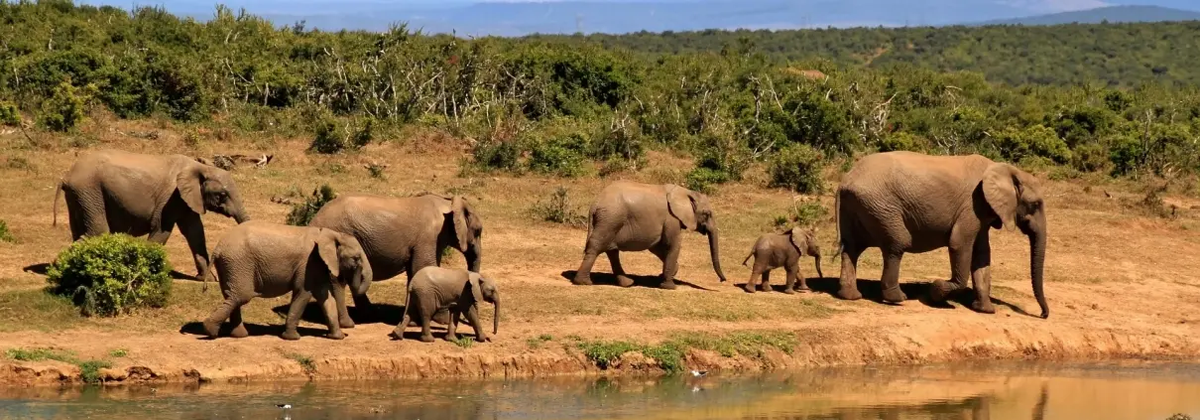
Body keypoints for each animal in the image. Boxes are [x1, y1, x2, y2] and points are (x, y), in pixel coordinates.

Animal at [54, 148, 250, 285]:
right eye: (222, 195)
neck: (200, 167)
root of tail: (66, 176)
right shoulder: (171, 198)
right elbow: (162, 230)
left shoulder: (187, 199)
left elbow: (195, 233)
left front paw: (207, 279)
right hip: (89, 190)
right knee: (97, 231)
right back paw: (62, 266)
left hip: (79, 195)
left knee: (80, 231)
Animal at [201, 219, 372, 340]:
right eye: (356, 259)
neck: (331, 234)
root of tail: (218, 248)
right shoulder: (308, 264)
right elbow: (303, 293)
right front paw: (292, 338)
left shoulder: (317, 266)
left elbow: (325, 297)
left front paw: (337, 337)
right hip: (238, 263)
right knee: (241, 296)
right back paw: (210, 330)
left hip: (230, 265)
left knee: (232, 296)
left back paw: (238, 335)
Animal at [307, 192, 484, 326]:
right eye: (478, 230)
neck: (448, 202)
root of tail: (313, 220)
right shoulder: (429, 237)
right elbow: (424, 267)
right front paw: (440, 320)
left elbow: (415, 272)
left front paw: (412, 321)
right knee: (338, 280)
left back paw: (369, 315)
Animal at [573, 180, 729, 289]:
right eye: (706, 214)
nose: (723, 280)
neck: (685, 192)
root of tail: (594, 204)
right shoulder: (671, 218)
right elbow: (673, 244)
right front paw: (669, 286)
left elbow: (657, 246)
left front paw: (666, 274)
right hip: (610, 219)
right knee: (596, 247)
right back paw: (584, 282)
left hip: (611, 221)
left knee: (612, 251)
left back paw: (627, 283)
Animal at [835, 151, 1051, 319]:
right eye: (1035, 204)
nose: (1042, 314)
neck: (1005, 169)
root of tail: (845, 180)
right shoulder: (972, 206)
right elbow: (959, 244)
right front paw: (936, 292)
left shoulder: (982, 212)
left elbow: (982, 255)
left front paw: (985, 310)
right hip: (881, 206)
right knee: (897, 243)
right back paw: (897, 298)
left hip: (859, 206)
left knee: (852, 247)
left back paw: (851, 296)